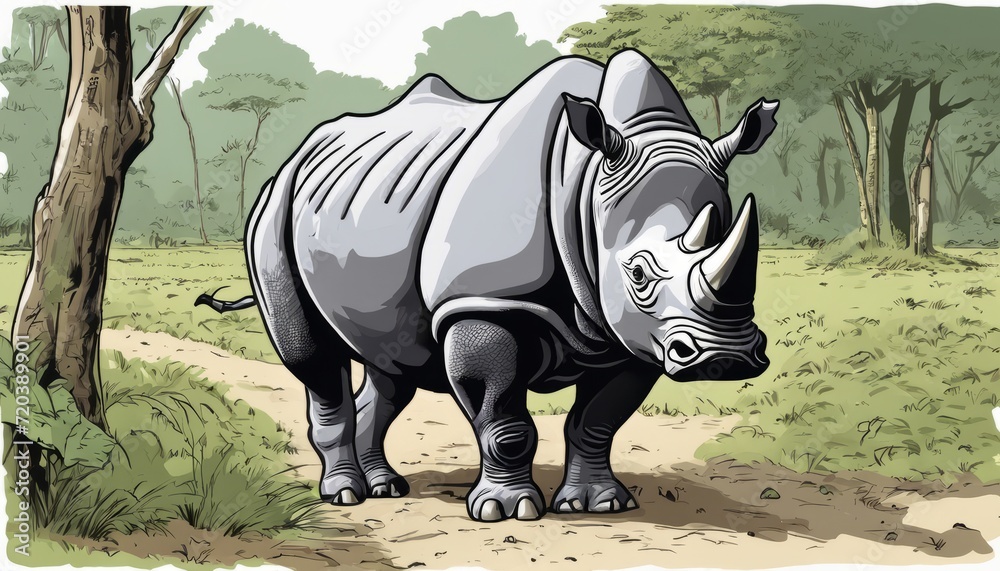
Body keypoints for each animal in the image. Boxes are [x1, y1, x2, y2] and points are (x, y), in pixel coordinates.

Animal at [196, 49, 777, 522]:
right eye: (637, 273)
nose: (724, 359)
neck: (588, 184)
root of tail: (293, 159)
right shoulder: (483, 301)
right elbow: (504, 419)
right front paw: (508, 511)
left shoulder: (633, 336)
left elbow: (598, 421)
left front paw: (600, 505)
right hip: (273, 209)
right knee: (315, 360)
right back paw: (345, 496)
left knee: (392, 368)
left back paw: (386, 489)